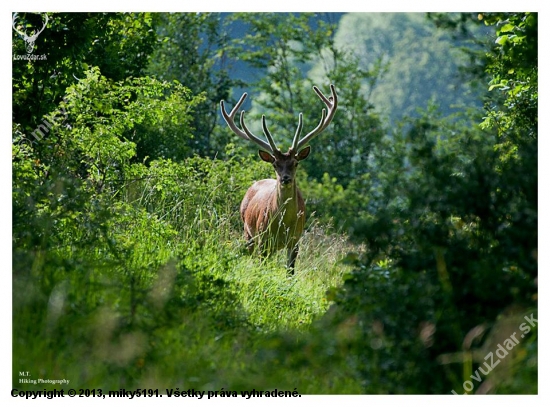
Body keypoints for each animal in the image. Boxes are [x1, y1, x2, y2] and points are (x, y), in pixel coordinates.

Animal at [222, 84, 338, 276]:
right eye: (275, 164)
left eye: (295, 163)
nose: (285, 178)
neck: (284, 225)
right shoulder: (263, 237)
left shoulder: (296, 240)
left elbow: (290, 272)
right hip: (248, 232)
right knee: (250, 257)